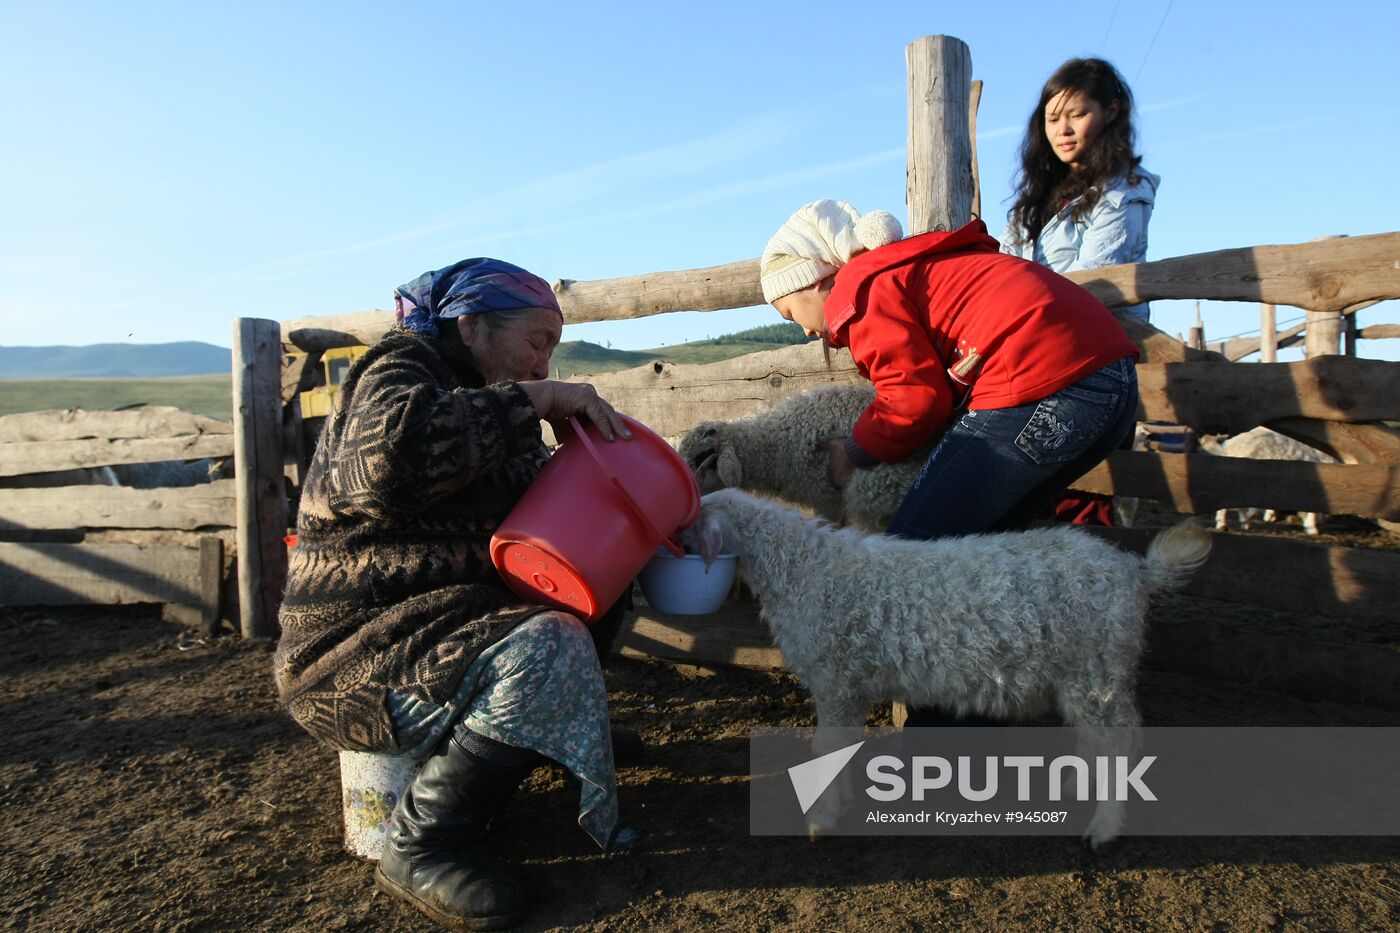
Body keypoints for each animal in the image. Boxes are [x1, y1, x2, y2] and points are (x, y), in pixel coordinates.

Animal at [686, 490, 1215, 846]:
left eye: (688, 527)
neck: (801, 568)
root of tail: (1134, 570)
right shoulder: (848, 687)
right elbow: (842, 747)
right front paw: (842, 803)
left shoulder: (836, 681)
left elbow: (825, 749)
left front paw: (821, 820)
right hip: (1088, 677)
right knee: (1098, 740)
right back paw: (1074, 785)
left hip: (1097, 670)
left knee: (1119, 745)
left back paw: (1103, 829)